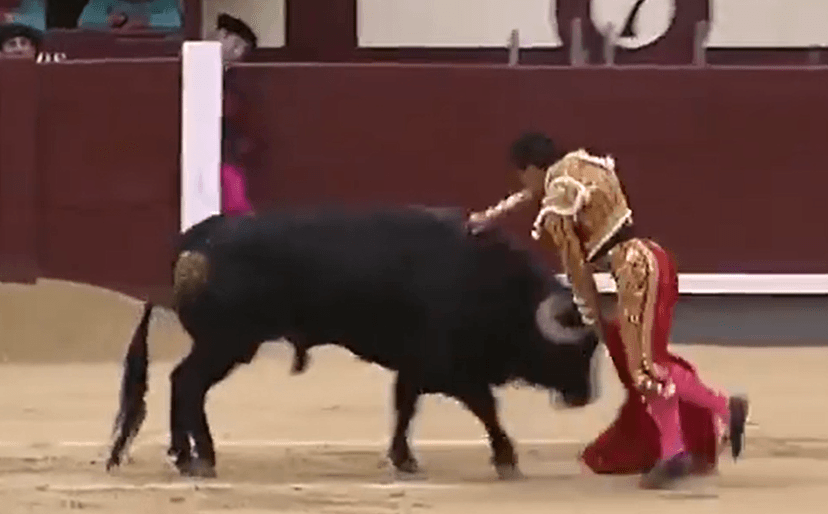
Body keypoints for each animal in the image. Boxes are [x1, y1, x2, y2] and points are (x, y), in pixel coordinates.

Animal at [105, 206, 600, 478]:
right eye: (574, 349)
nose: (586, 397)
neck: (493, 284)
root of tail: (199, 235)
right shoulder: (449, 367)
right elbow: (485, 409)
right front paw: (507, 459)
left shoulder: (416, 366)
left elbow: (405, 408)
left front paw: (403, 459)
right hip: (226, 343)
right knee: (188, 384)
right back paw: (199, 458)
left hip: (222, 344)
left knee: (181, 384)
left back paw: (185, 455)